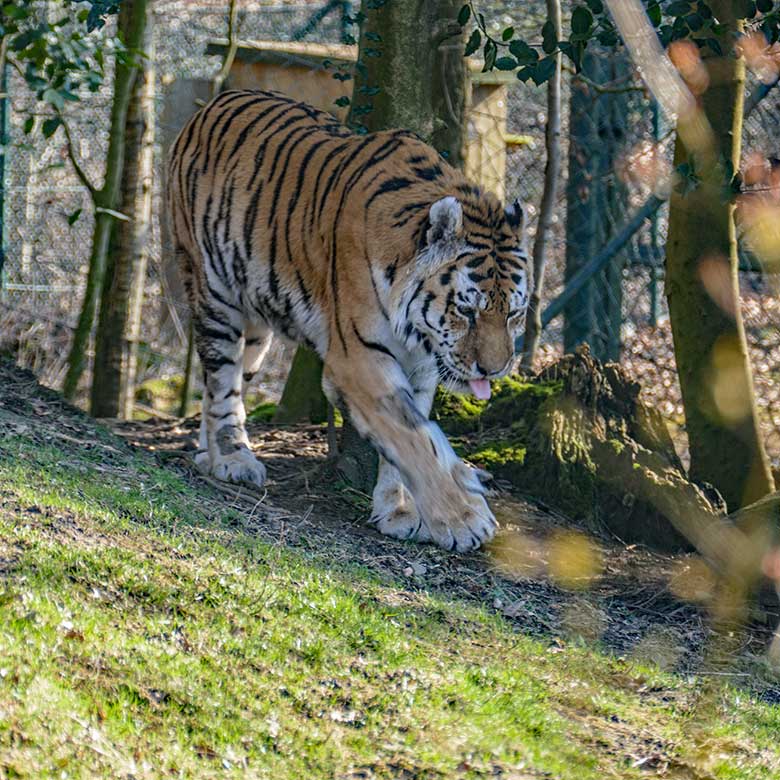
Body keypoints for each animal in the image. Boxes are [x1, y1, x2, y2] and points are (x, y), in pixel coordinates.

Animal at [165, 90, 532, 556]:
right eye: (467, 311)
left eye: (514, 313)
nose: (495, 369)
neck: (416, 330)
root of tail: (215, 101)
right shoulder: (358, 358)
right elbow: (414, 437)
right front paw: (464, 518)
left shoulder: (420, 366)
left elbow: (415, 434)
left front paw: (400, 510)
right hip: (215, 291)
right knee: (222, 381)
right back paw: (232, 458)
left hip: (256, 327)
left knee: (220, 384)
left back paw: (207, 453)